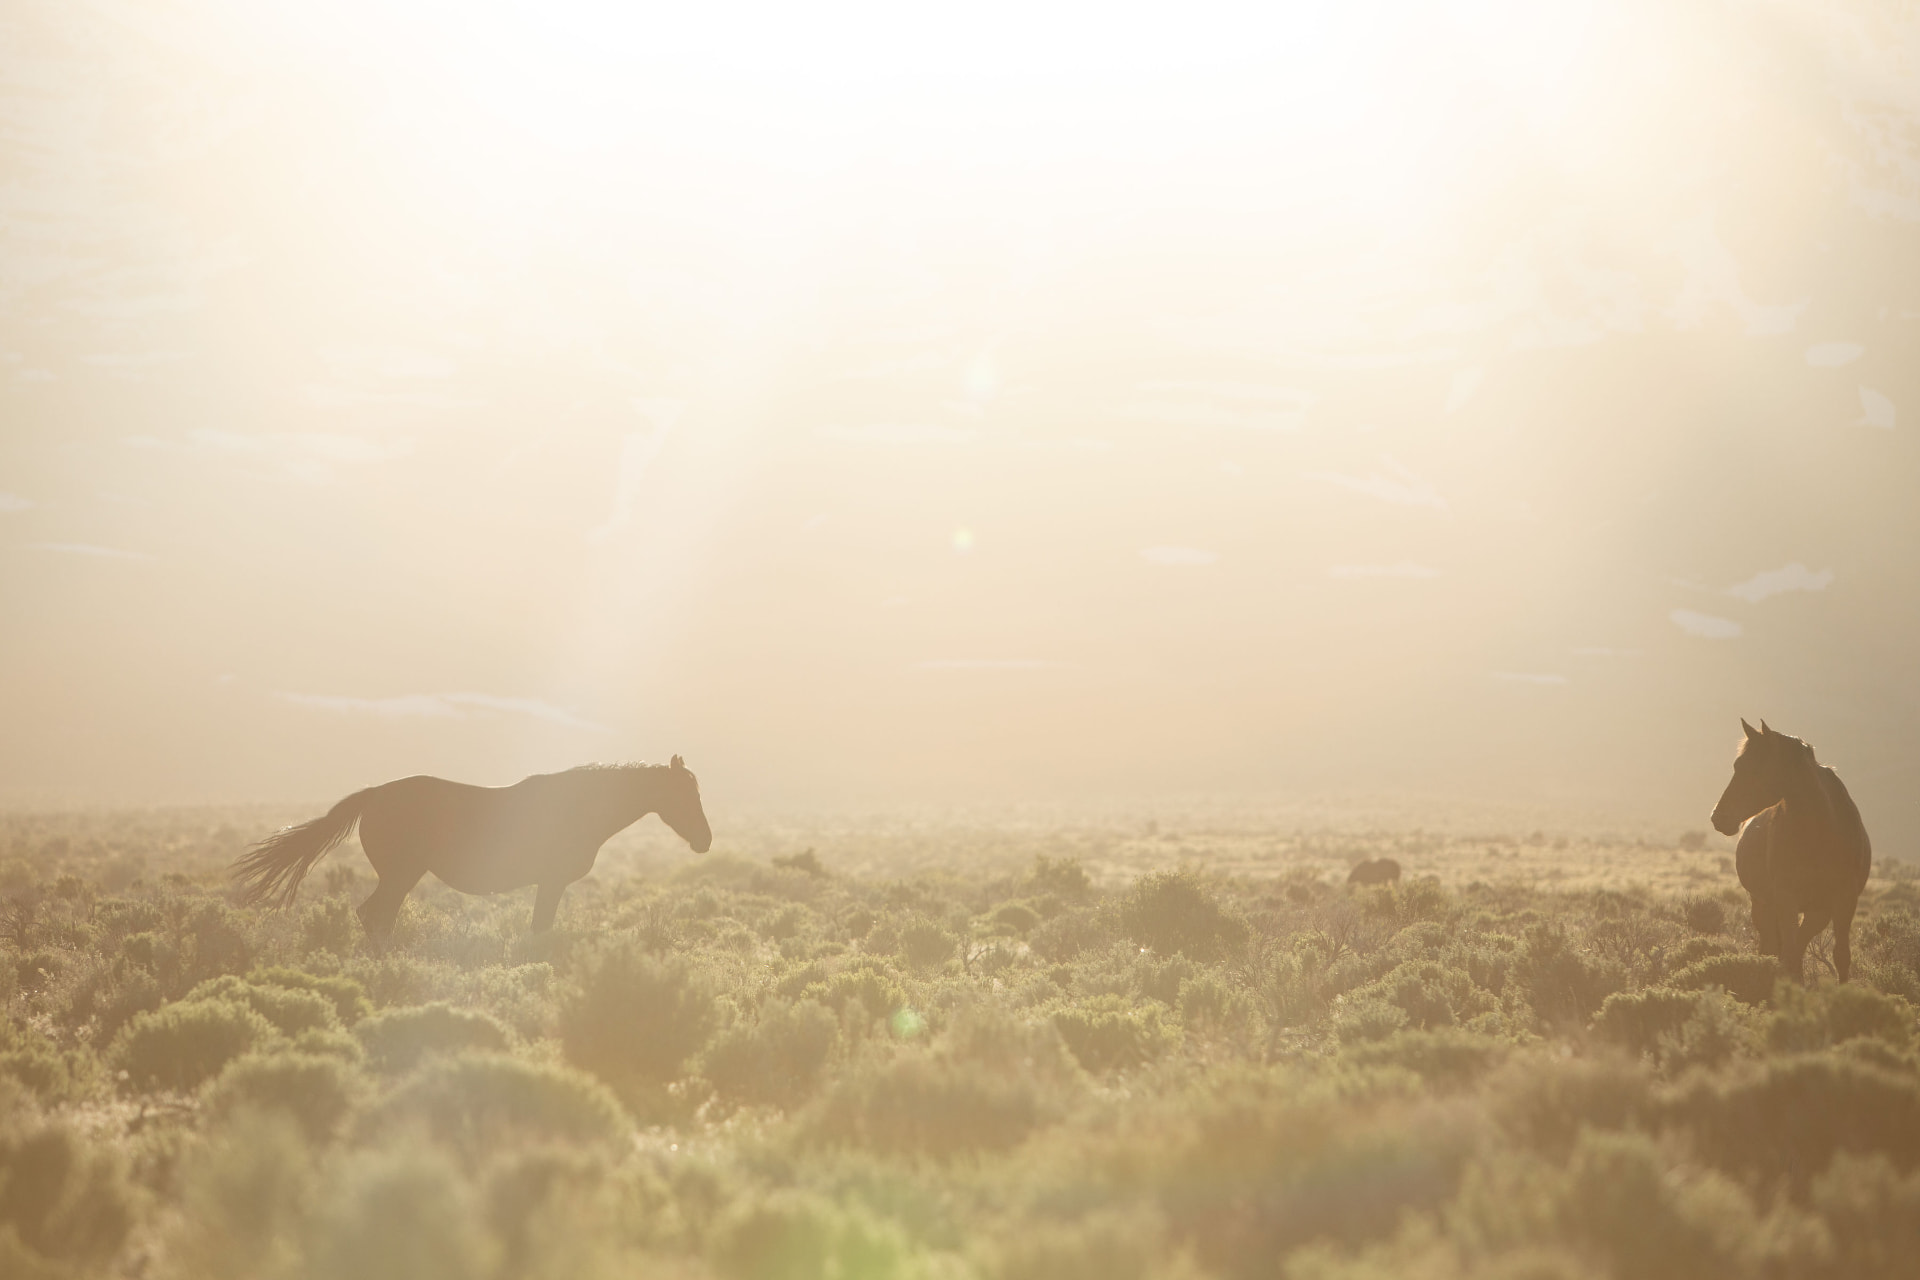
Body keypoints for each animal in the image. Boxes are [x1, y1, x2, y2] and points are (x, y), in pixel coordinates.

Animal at [232, 758, 711, 941]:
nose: (705, 840)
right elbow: (539, 931)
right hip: (401, 875)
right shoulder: (551, 883)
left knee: (375, 917)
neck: (578, 806)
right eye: (685, 795)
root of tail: (374, 795)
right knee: (376, 918)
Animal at [1710, 720, 1870, 982]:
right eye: (1737, 765)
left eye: (1756, 768)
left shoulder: (1845, 899)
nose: (1719, 818)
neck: (1821, 830)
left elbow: (1840, 956)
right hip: (1763, 905)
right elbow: (1789, 953)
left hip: (1817, 912)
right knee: (1774, 947)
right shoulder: (1786, 898)